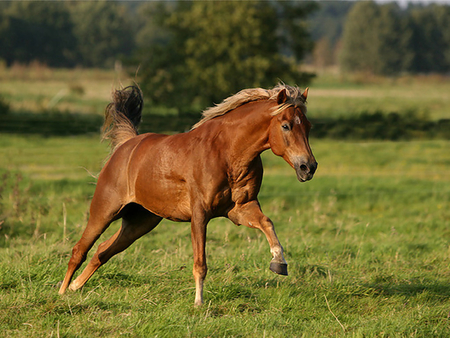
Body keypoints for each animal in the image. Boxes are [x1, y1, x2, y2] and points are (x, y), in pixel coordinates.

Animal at [58, 84, 318, 306]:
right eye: (286, 125)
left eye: (308, 126)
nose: (308, 167)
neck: (227, 152)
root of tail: (127, 145)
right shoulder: (200, 213)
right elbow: (200, 263)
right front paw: (198, 302)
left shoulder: (241, 208)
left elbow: (267, 223)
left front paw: (279, 263)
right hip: (105, 210)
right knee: (79, 250)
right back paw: (62, 291)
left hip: (140, 222)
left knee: (103, 251)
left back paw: (75, 287)